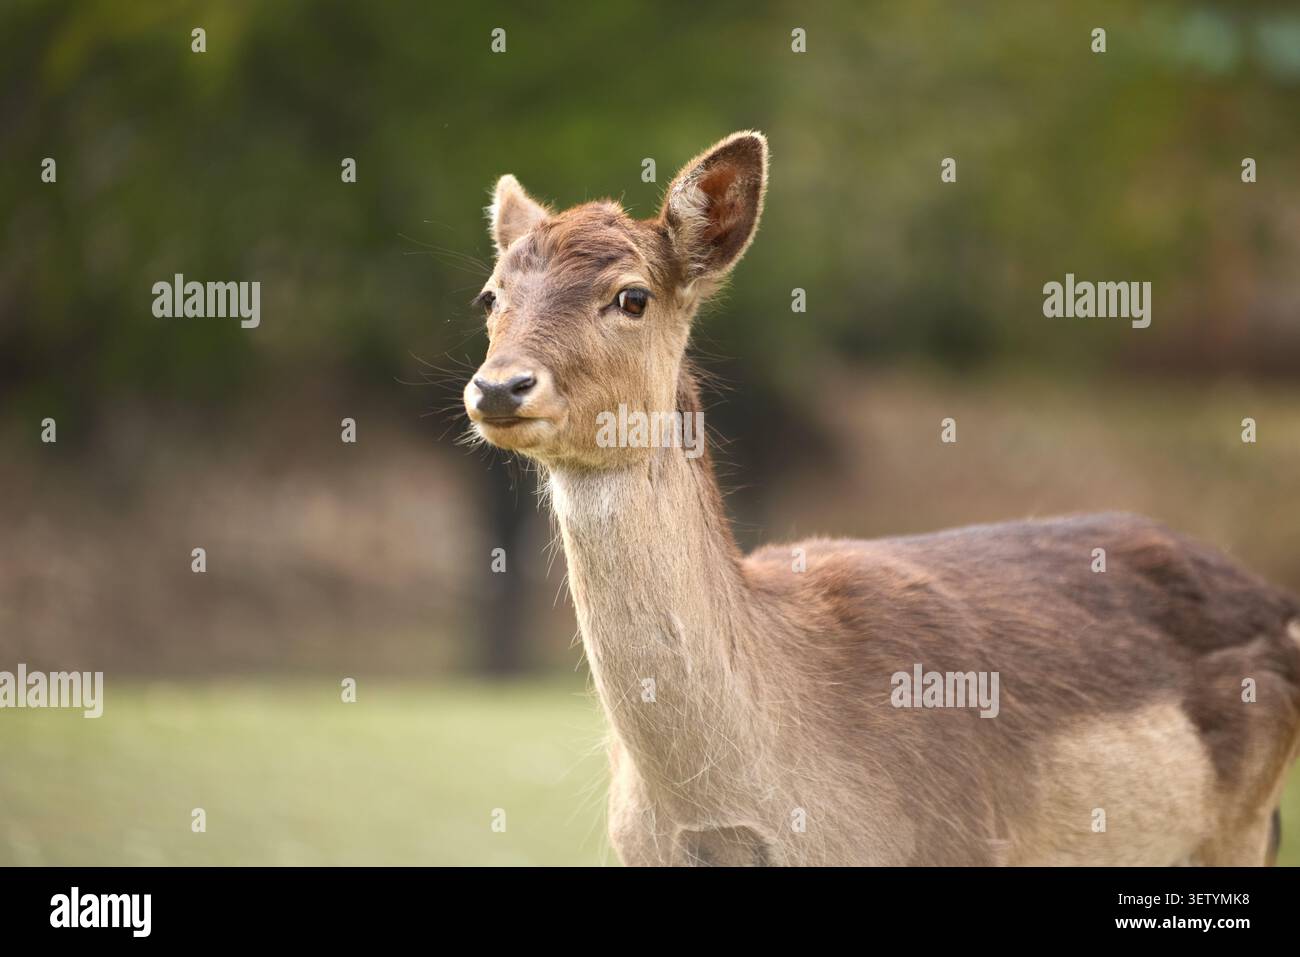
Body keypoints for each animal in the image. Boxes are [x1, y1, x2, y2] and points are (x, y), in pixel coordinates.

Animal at [461, 131, 1300, 865]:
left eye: (631, 296)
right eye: (490, 295)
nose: (499, 385)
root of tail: (1279, 601)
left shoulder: (961, 843)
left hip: (1240, 828)